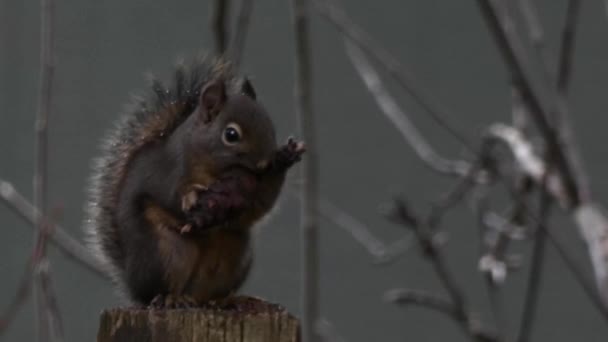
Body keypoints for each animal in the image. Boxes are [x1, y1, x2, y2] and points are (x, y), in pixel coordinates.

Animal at [84, 56, 304, 308]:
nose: (264, 163)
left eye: (269, 125)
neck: (215, 170)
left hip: (235, 256)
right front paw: (192, 196)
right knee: (161, 288)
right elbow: (171, 194)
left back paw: (227, 299)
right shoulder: (168, 172)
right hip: (167, 253)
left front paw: (286, 156)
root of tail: (134, 287)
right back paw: (170, 298)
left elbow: (261, 203)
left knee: (207, 292)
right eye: (231, 134)